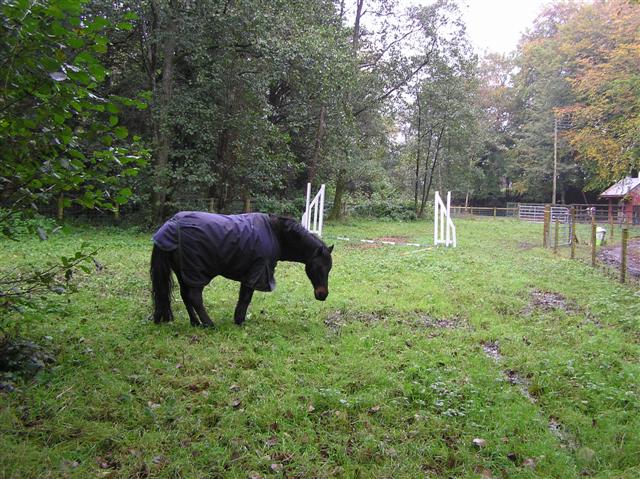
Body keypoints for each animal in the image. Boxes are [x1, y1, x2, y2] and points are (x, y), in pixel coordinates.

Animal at [148, 213, 332, 328]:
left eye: (329, 269)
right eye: (318, 267)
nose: (323, 295)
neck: (276, 234)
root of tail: (170, 225)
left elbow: (243, 298)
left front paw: (239, 319)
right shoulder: (256, 272)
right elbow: (245, 298)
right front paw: (240, 321)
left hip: (183, 273)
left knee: (186, 296)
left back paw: (195, 322)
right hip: (195, 272)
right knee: (194, 297)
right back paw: (208, 324)